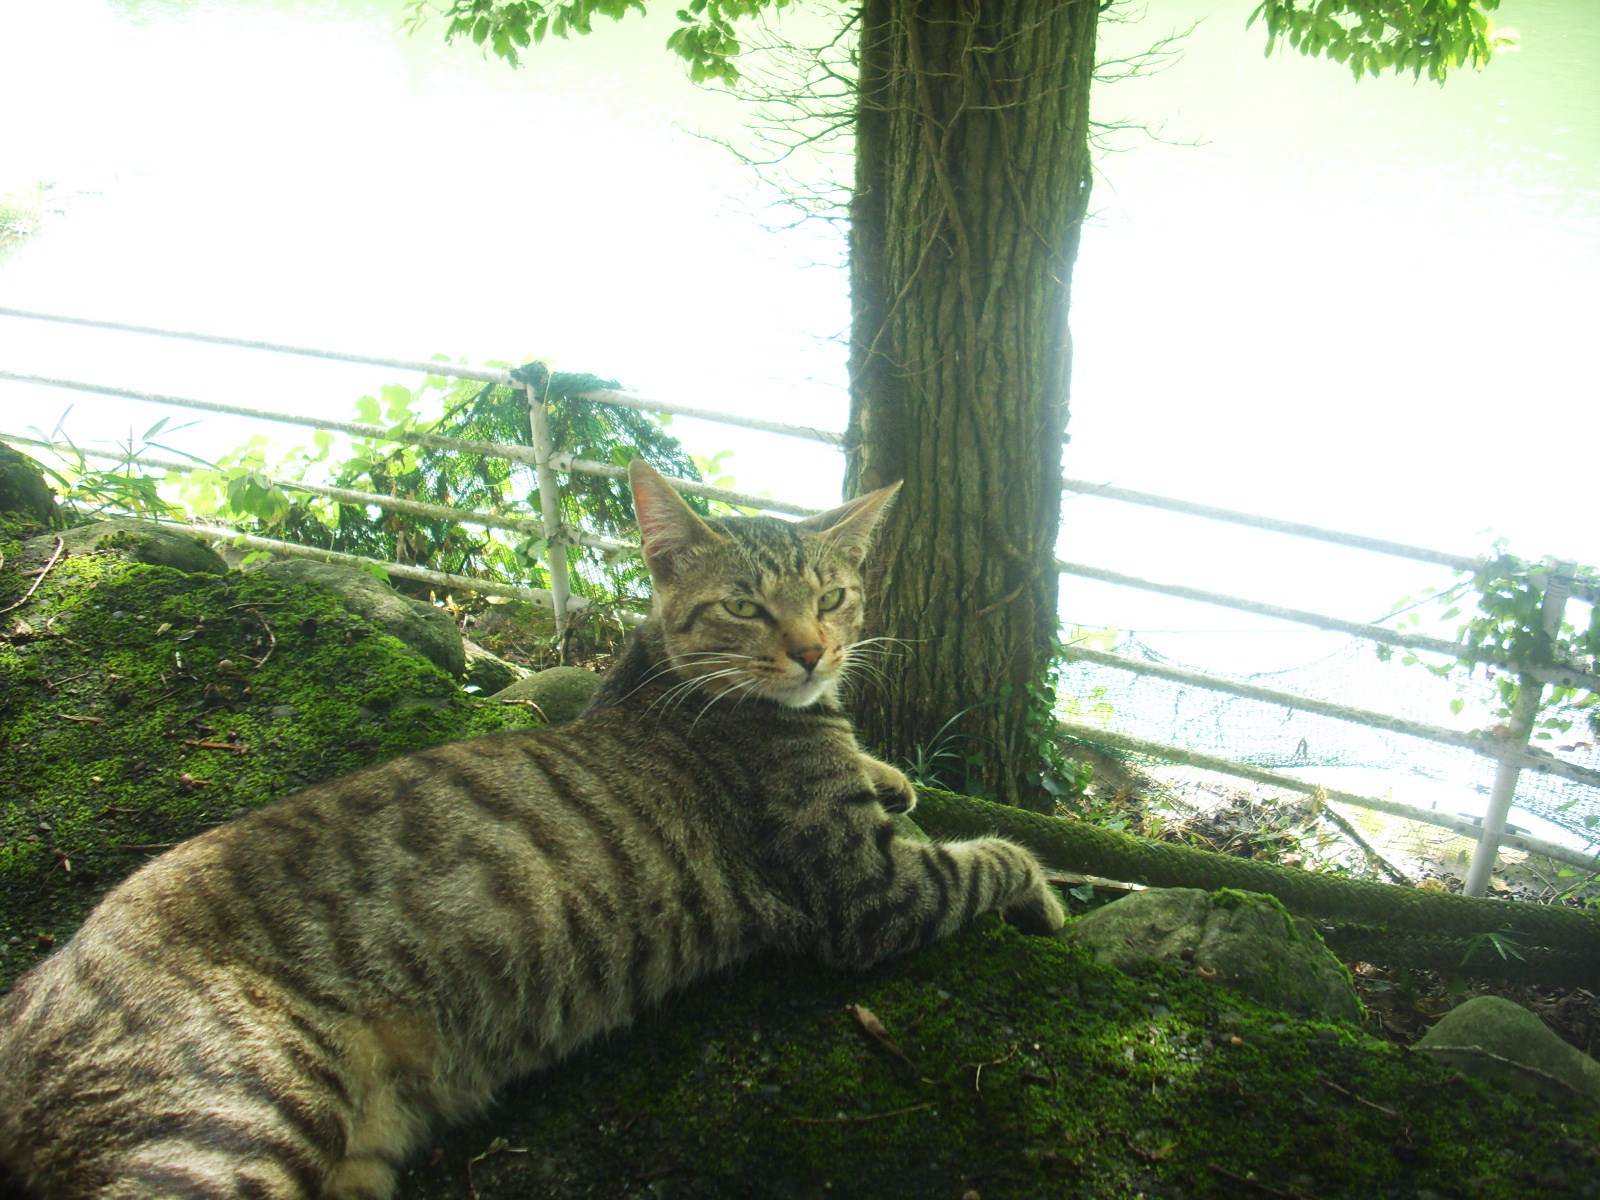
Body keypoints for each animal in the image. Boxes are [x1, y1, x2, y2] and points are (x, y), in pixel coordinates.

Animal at [0, 459, 1066, 1199]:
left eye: (834, 597)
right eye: (744, 607)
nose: (813, 652)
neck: (662, 681)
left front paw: (893, 776)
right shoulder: (864, 892)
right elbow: (989, 860)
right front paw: (1043, 889)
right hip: (225, 1118)